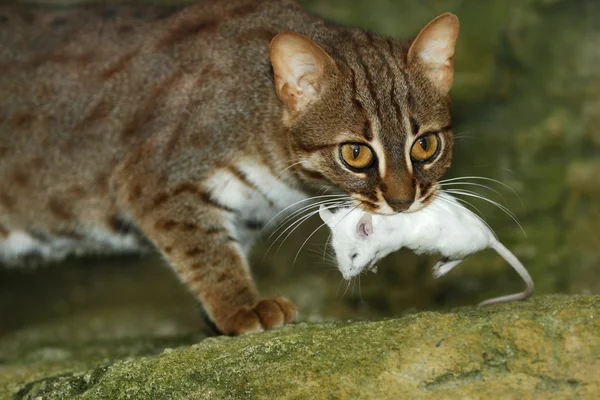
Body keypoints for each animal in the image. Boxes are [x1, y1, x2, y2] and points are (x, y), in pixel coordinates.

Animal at [0, 0, 460, 334]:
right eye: (356, 153)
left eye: (427, 145)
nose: (403, 203)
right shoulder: (154, 181)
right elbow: (205, 250)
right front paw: (240, 306)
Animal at [318, 192, 536, 304]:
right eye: (336, 253)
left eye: (354, 255)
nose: (345, 277)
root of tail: (490, 238)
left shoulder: (391, 243)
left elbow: (379, 255)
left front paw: (372, 266)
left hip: (454, 246)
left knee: (463, 257)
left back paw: (440, 270)